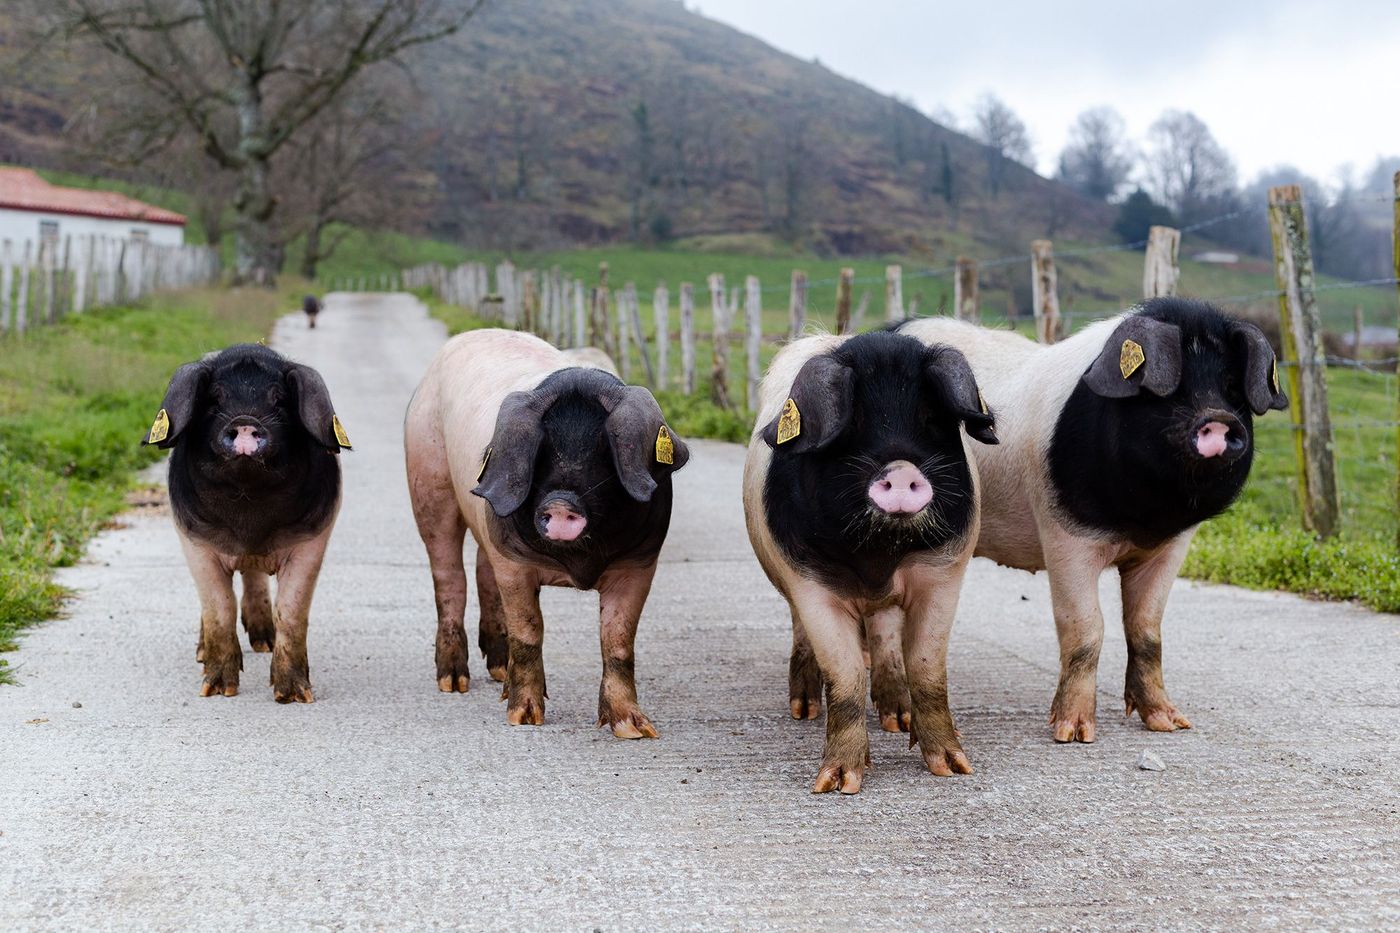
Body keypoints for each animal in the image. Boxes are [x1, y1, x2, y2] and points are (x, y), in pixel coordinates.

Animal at [144, 343, 350, 702]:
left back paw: (264, 642)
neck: (250, 522)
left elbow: (292, 610)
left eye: (279, 399)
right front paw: (216, 691)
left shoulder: (312, 541)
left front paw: (293, 696)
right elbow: (219, 608)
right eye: (214, 398)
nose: (244, 421)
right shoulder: (195, 541)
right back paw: (202, 655)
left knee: (255, 580)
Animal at [404, 329, 689, 738]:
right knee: (449, 575)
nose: (560, 503)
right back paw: (454, 684)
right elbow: (529, 630)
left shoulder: (640, 563)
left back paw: (498, 673)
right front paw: (523, 719)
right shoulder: (514, 562)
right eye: (543, 450)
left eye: (604, 451)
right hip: (428, 479)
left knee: (482, 570)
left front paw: (635, 730)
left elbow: (618, 639)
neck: (578, 565)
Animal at [744, 330, 999, 793]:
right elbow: (845, 676)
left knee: (885, 635)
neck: (878, 557)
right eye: (853, 422)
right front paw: (836, 784)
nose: (900, 468)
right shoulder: (810, 584)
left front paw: (954, 768)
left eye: (931, 417)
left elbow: (928, 668)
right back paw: (804, 710)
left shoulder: (944, 574)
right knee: (804, 633)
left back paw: (897, 719)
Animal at [888, 297, 1288, 743]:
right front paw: (1072, 734)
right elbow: (1086, 628)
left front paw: (1170, 723)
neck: (1139, 520)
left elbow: (1147, 629)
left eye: (1233, 387)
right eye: (1169, 389)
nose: (1218, 419)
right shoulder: (1064, 536)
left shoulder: (1172, 546)